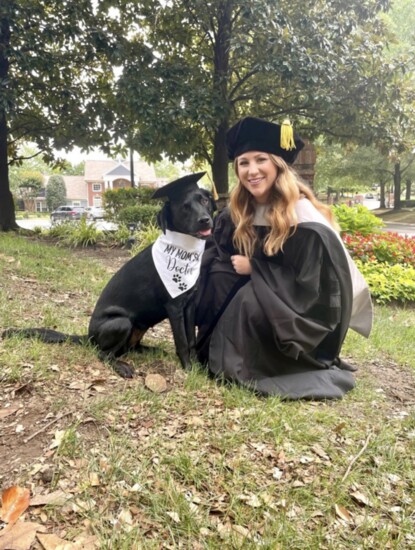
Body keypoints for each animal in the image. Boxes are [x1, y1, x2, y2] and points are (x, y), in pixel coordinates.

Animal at [2, 174, 218, 380]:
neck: (183, 249)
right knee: (103, 354)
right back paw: (122, 367)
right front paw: (188, 369)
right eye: (185, 207)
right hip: (121, 323)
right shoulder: (174, 307)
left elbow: (191, 340)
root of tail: (88, 337)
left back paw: (152, 350)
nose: (205, 220)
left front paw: (197, 368)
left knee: (130, 348)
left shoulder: (189, 305)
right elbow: (181, 341)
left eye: (204, 201)